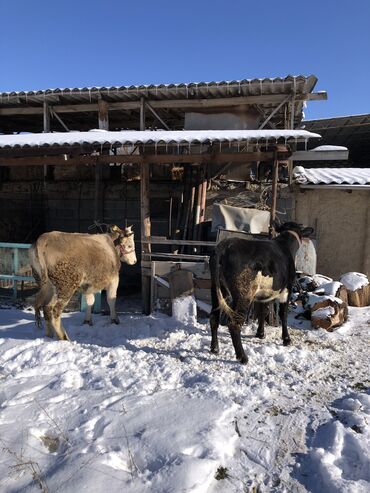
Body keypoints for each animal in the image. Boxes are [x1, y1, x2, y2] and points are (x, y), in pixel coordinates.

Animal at [210, 221, 314, 364]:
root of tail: (225, 245)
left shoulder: (263, 294)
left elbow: (262, 311)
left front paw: (260, 334)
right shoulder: (286, 289)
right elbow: (283, 314)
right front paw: (286, 339)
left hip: (216, 289)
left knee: (214, 317)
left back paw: (215, 348)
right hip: (244, 294)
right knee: (234, 323)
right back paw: (243, 357)